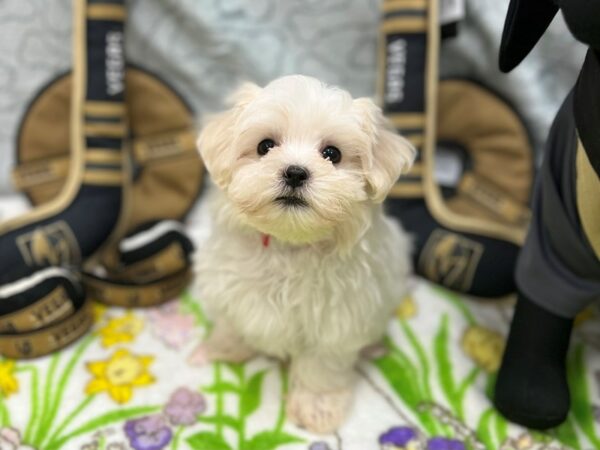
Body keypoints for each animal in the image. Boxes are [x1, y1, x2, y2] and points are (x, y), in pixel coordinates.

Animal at [191, 75, 412, 434]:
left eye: (332, 154)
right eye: (265, 146)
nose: (295, 172)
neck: (289, 244)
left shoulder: (337, 320)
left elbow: (321, 367)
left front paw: (316, 408)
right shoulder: (229, 287)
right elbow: (230, 324)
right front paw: (222, 350)